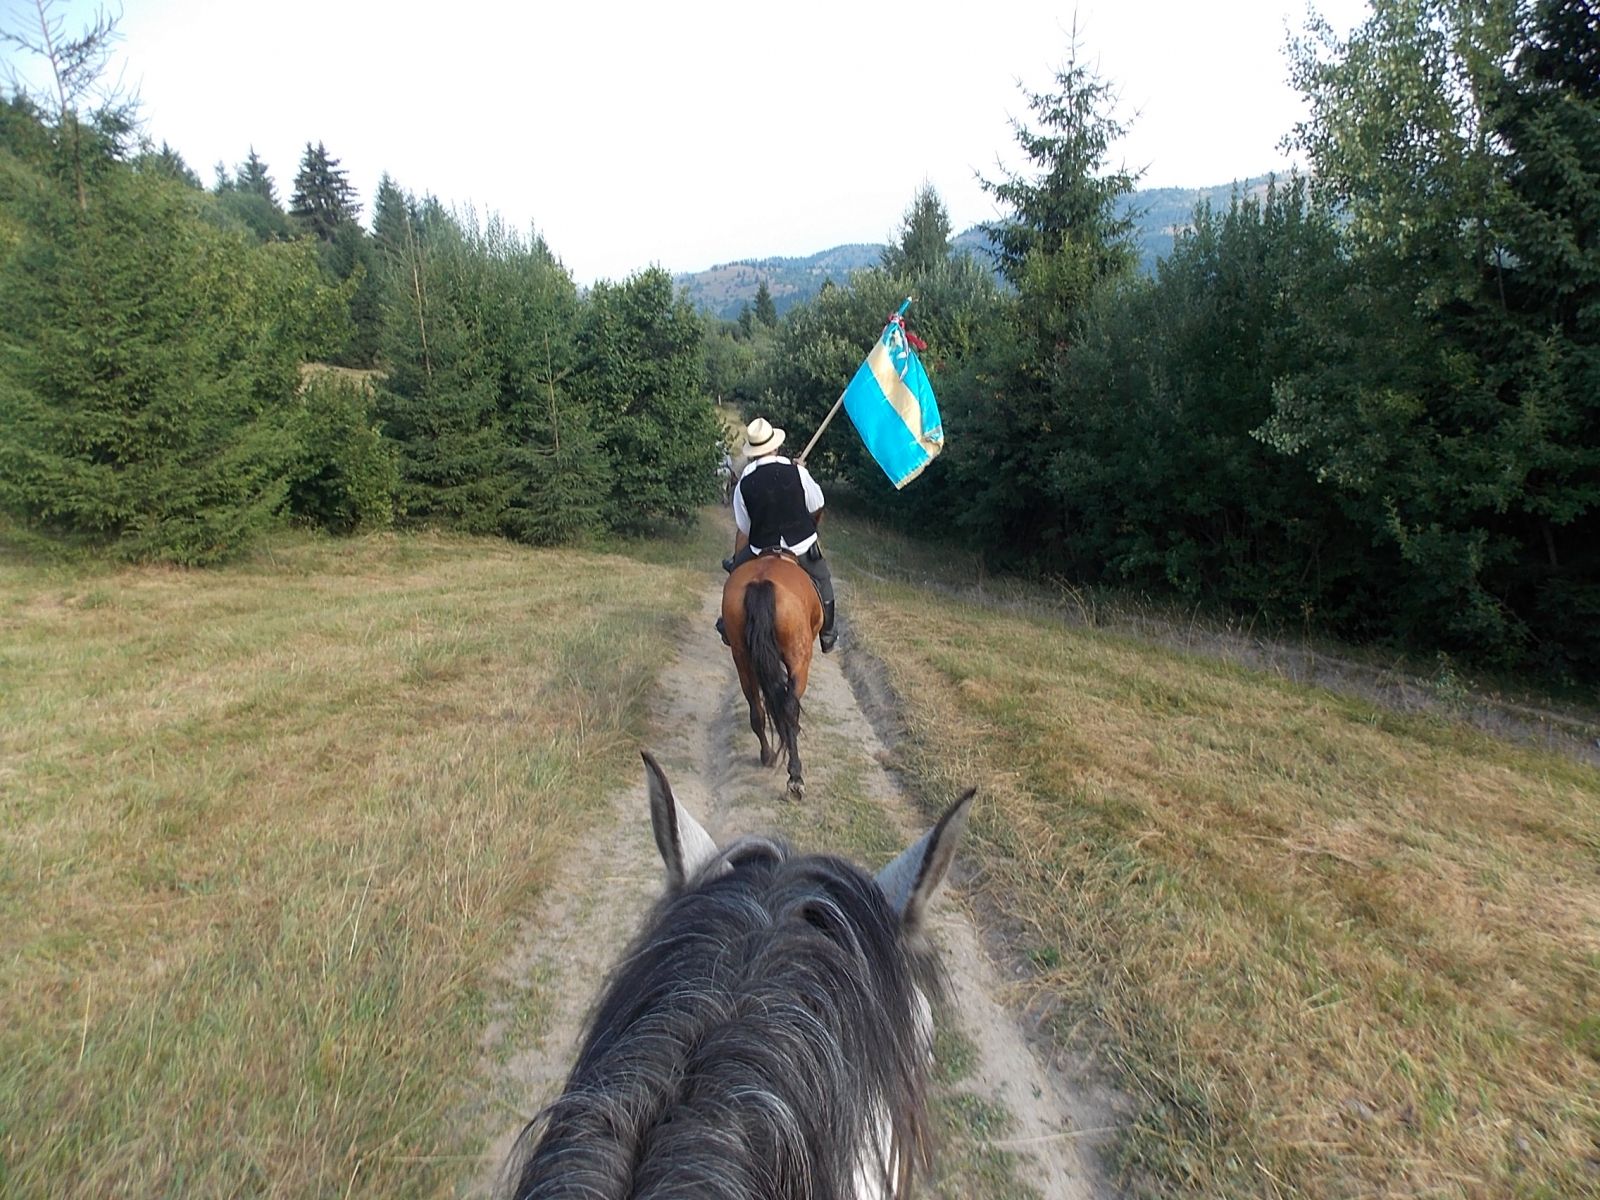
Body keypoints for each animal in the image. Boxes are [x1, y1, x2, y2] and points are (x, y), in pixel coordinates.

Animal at [726, 553, 825, 800]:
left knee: (756, 710)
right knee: (789, 707)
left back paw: (767, 755)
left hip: (742, 659)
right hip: (799, 659)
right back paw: (795, 779)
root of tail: (762, 583)